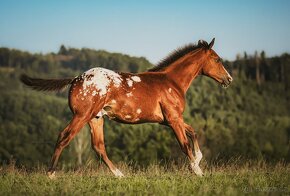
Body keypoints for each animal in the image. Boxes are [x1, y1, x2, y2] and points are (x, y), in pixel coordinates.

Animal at [20, 38, 232, 178]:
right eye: (217, 59)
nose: (229, 79)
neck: (171, 82)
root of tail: (75, 80)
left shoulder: (170, 120)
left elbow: (193, 132)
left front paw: (198, 161)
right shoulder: (173, 119)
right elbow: (184, 144)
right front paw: (198, 171)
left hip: (95, 119)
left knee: (98, 147)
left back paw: (119, 175)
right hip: (82, 116)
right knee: (65, 136)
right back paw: (51, 174)